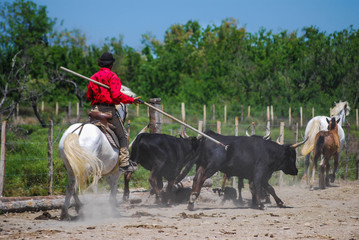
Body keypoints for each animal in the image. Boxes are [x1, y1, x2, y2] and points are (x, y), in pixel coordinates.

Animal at [59, 86, 135, 219]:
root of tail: (77, 133)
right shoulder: (116, 171)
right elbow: (113, 186)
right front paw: (113, 208)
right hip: (87, 167)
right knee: (82, 185)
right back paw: (85, 210)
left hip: (70, 167)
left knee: (71, 186)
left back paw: (68, 212)